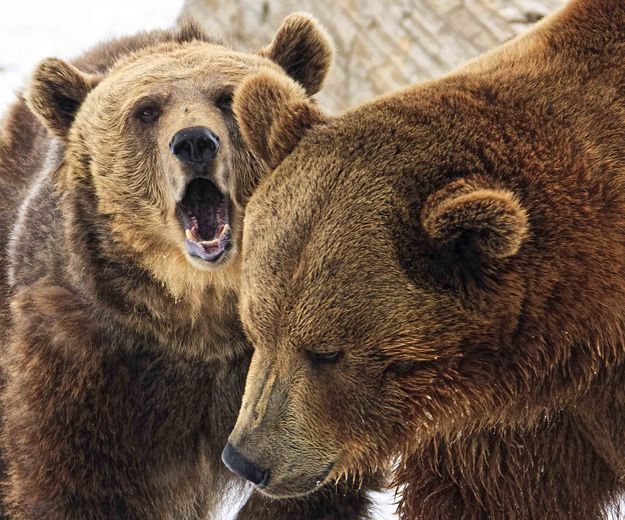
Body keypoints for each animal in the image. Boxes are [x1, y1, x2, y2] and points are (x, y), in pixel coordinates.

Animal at [0, 14, 378, 516]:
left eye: (227, 98)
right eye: (145, 111)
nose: (195, 142)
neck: (202, 315)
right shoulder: (88, 355)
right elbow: (72, 483)